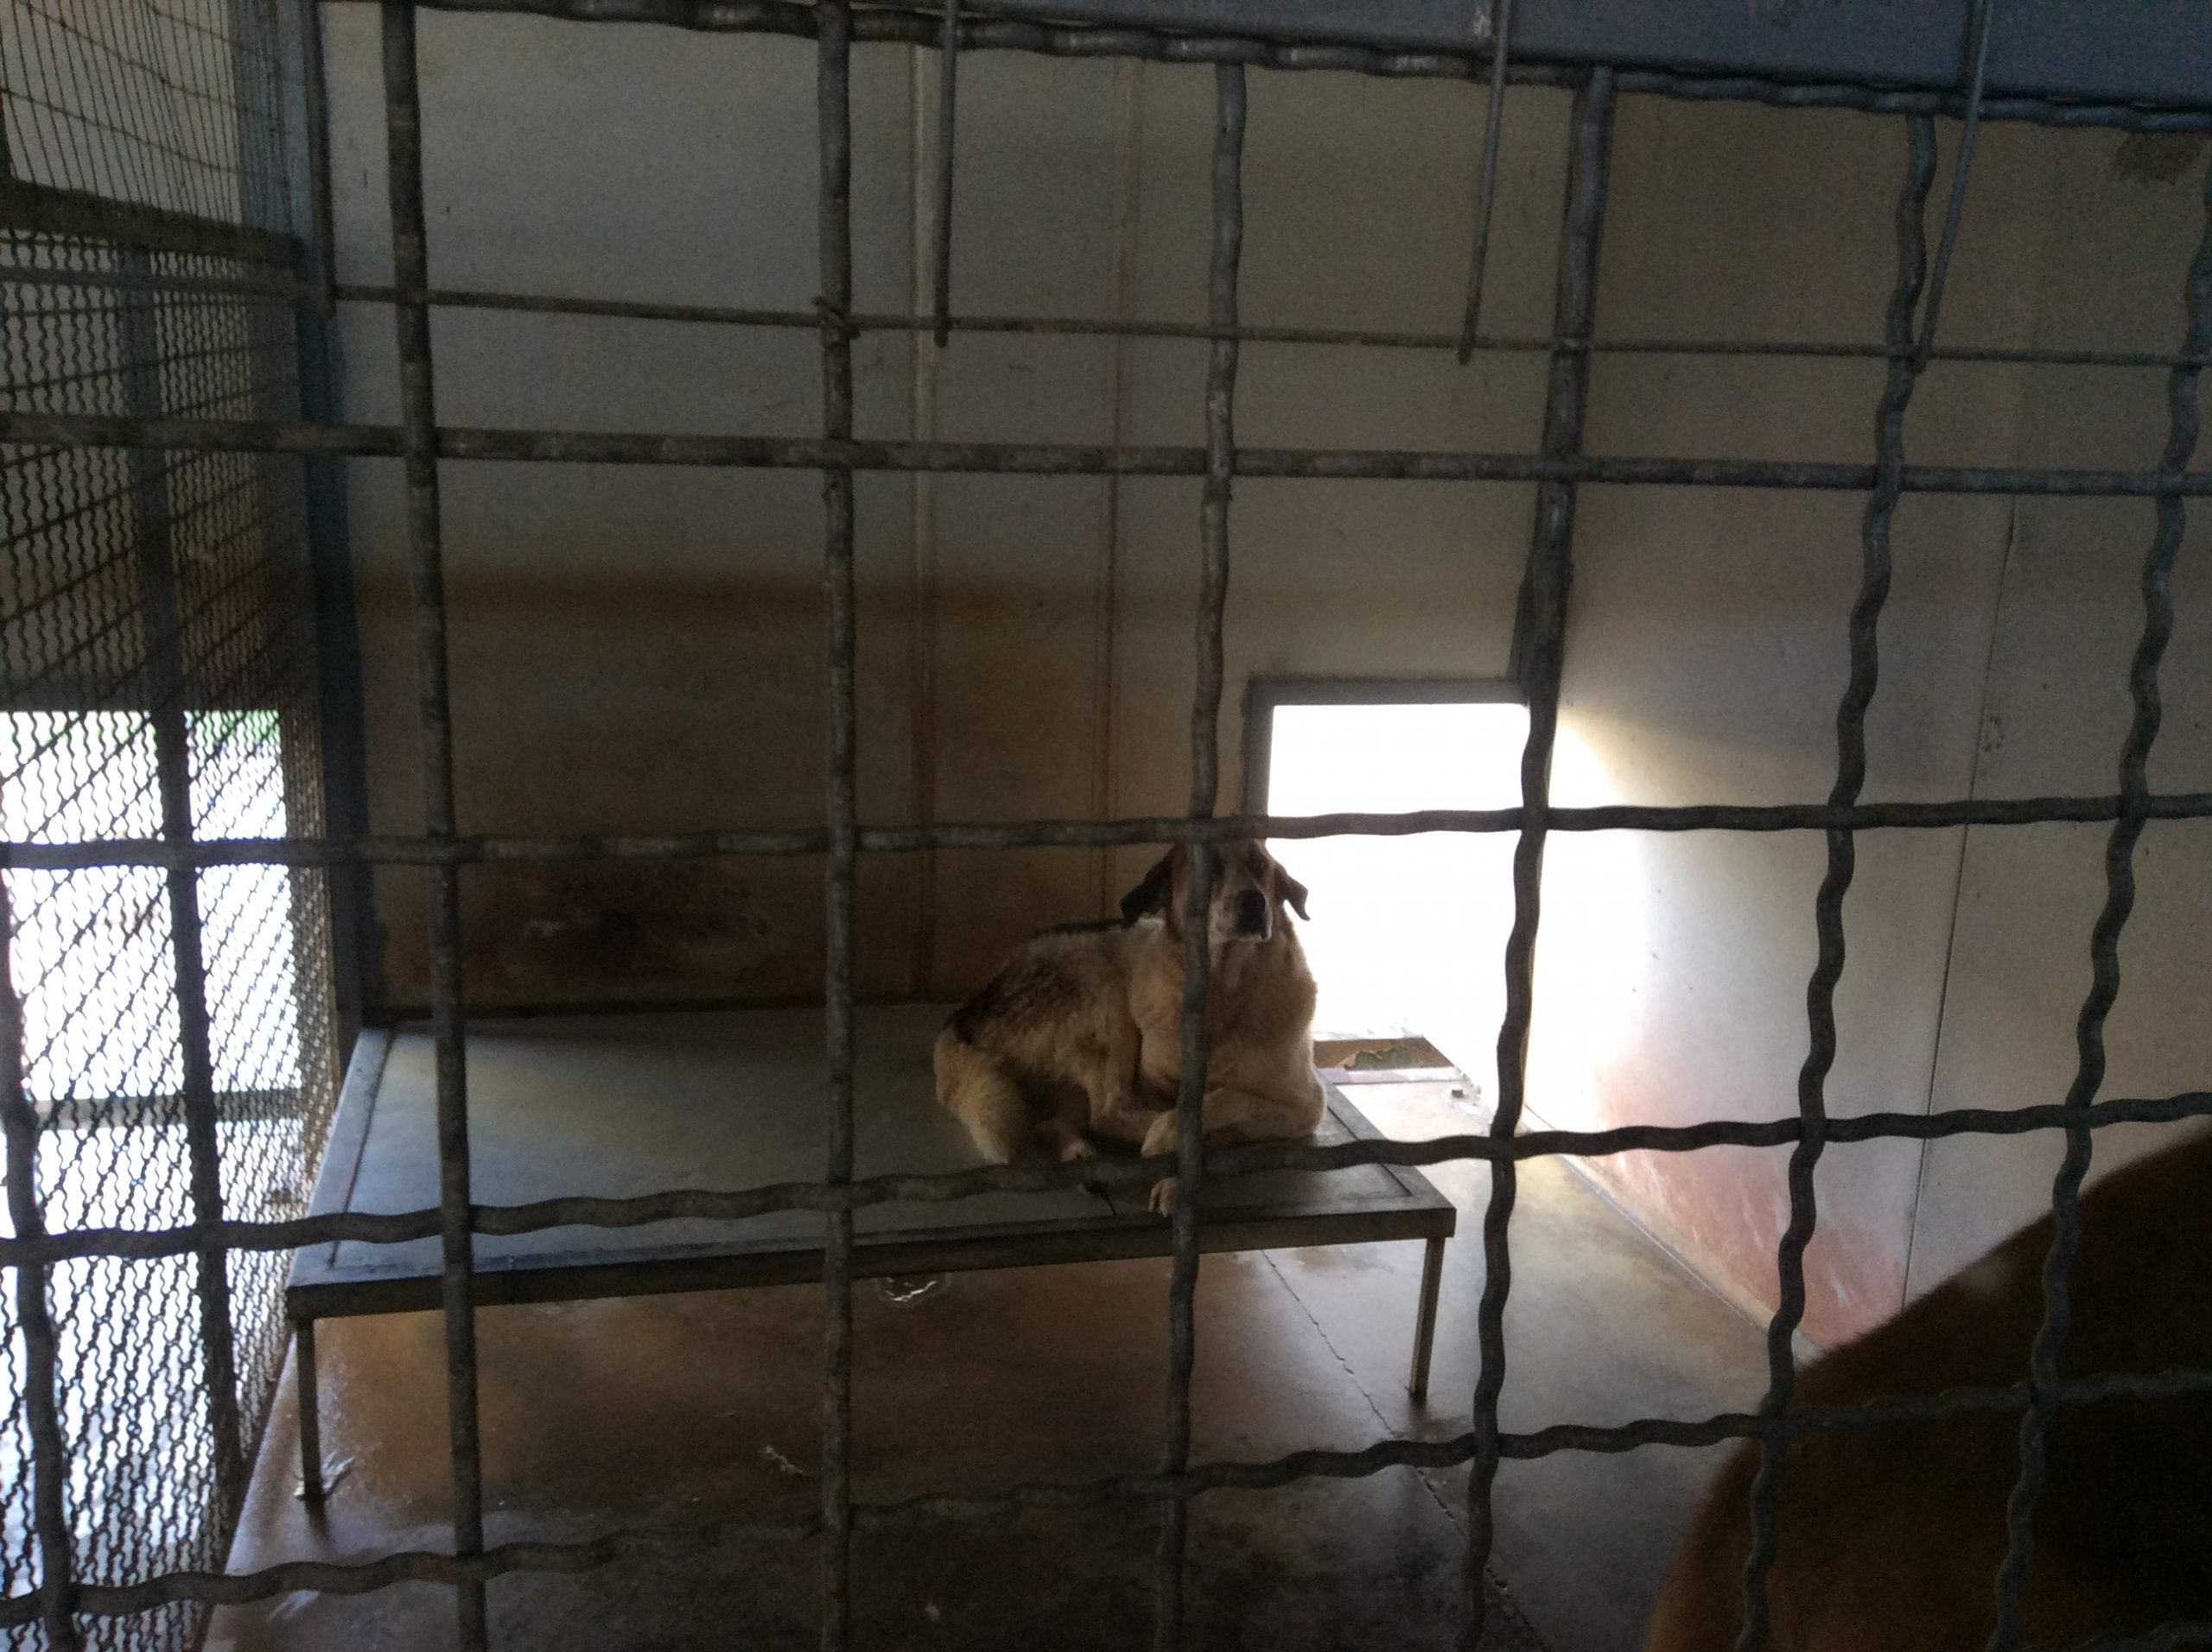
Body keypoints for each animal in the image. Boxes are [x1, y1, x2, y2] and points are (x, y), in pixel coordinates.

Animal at [933, 839, 1327, 1214]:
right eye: (1209, 869)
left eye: (1260, 866)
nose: (1253, 902)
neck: (1222, 995)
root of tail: (972, 1005)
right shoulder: (1153, 1087)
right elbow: (1192, 1108)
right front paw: (1177, 1152)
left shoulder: (1305, 1104)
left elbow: (1229, 1097)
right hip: (1105, 998)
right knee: (1106, 1111)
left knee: (1059, 1121)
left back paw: (1087, 1161)